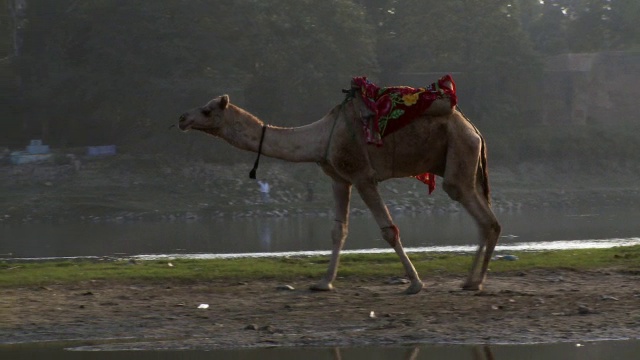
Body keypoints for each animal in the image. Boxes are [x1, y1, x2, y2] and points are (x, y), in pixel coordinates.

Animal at [178, 88, 502, 294]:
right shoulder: (339, 179)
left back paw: (475, 282)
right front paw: (323, 283)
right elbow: (338, 231)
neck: (322, 137)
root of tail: (475, 130)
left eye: (207, 110)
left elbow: (389, 230)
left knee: (482, 217)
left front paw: (415, 283)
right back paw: (471, 282)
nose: (182, 118)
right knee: (488, 221)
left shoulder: (362, 175)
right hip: (462, 160)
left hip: (459, 153)